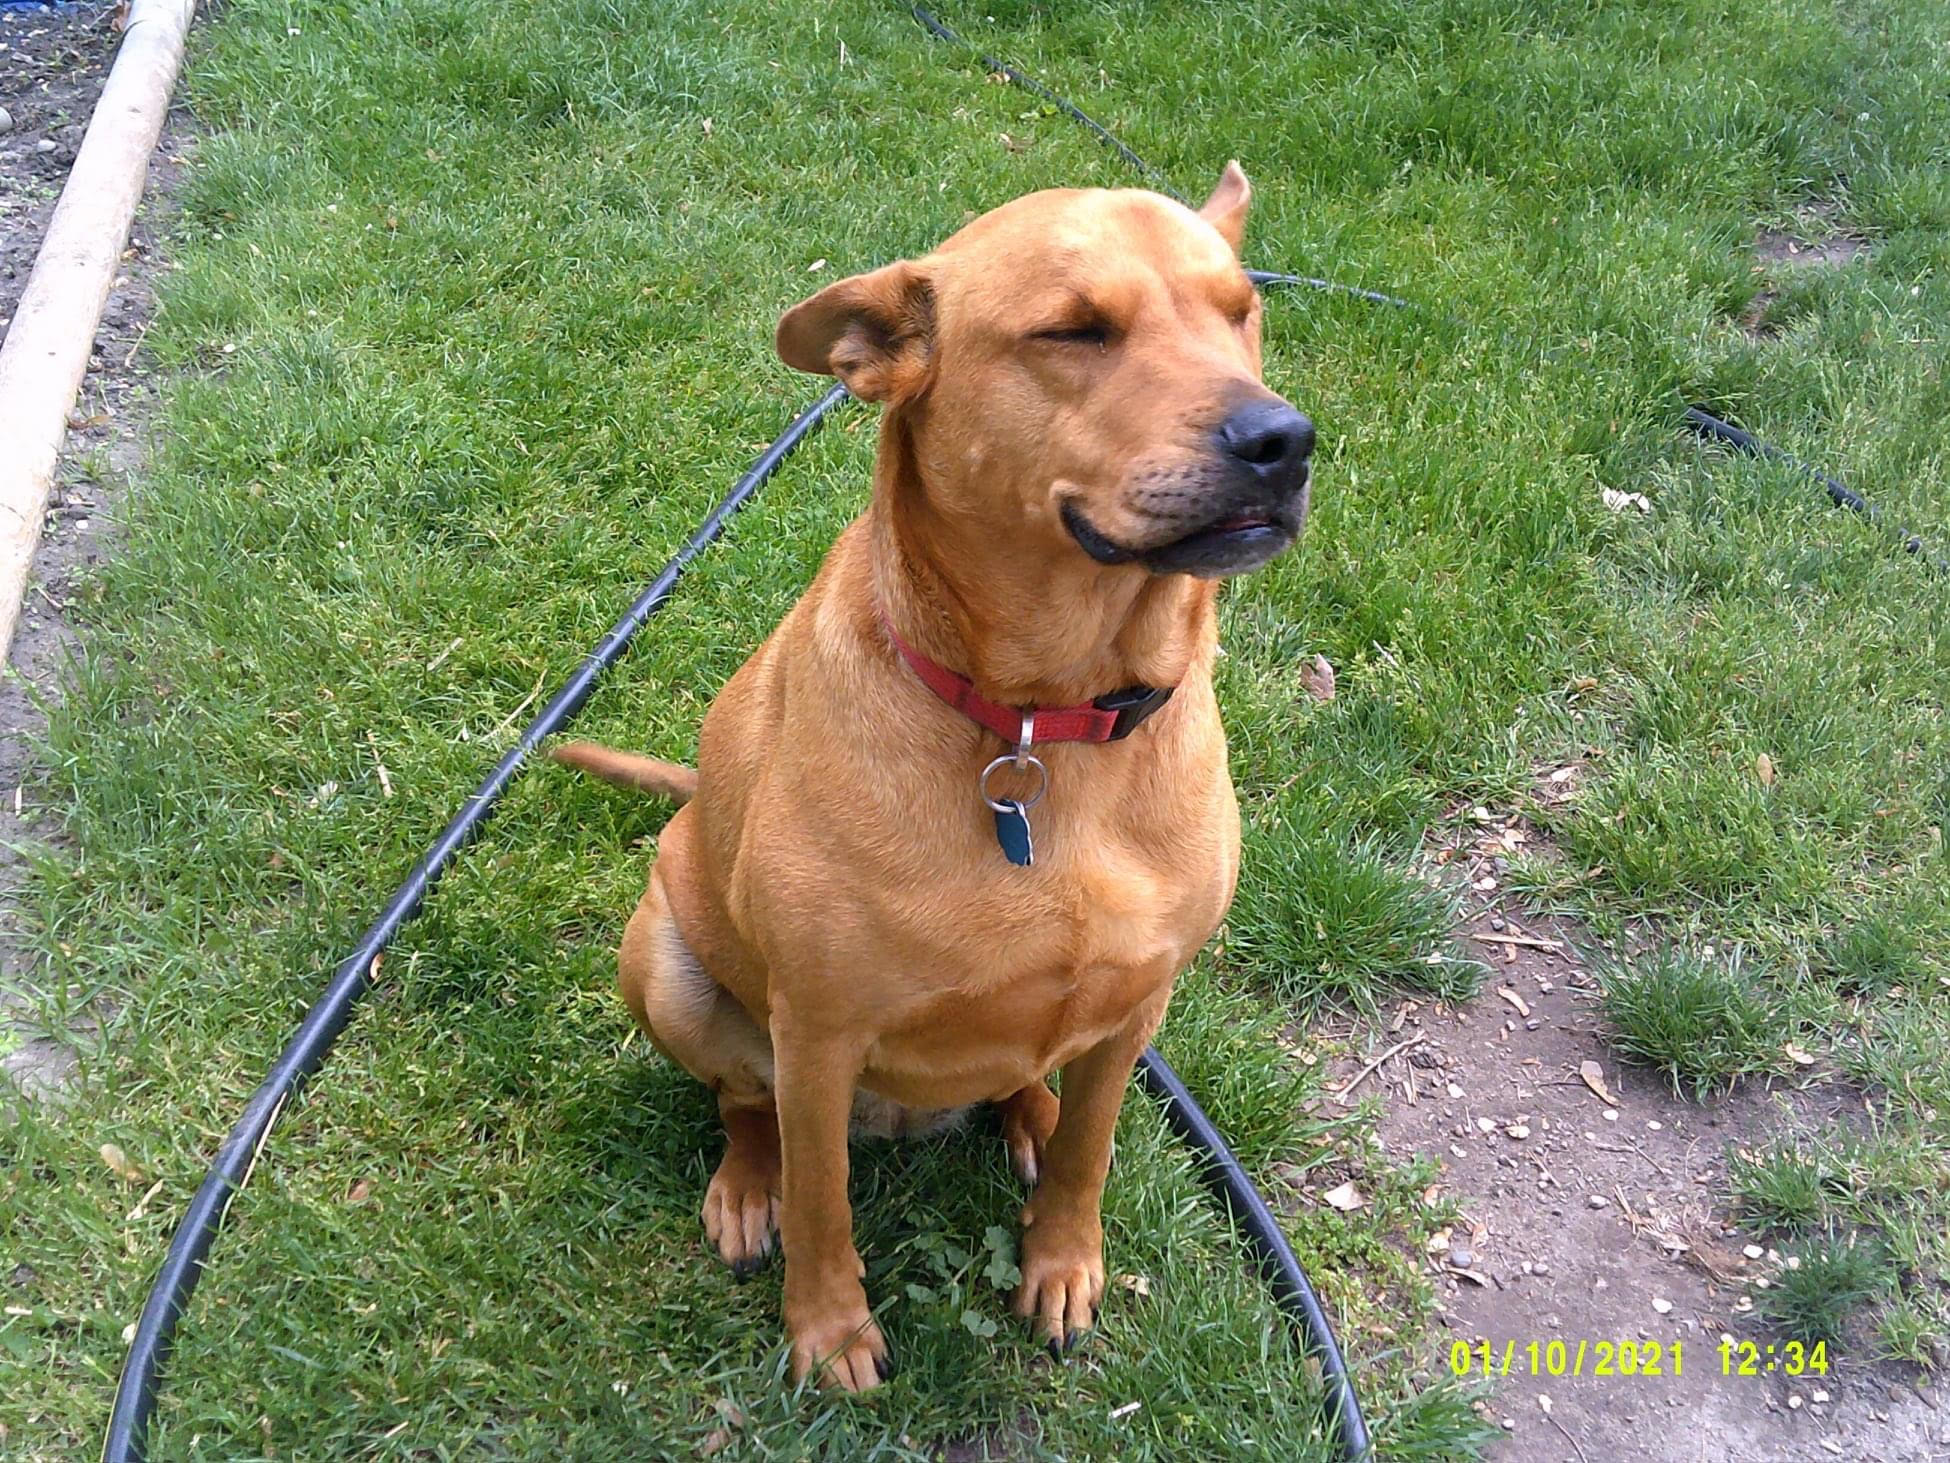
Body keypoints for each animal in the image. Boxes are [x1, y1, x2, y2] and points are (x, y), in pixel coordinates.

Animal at [549, 162, 1310, 1396]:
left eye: (1242, 311)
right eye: (1073, 330)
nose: (1283, 439)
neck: (1049, 724)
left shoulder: (1142, 999)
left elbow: (1093, 1155)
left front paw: (1062, 1259)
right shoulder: (817, 1033)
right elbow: (824, 1204)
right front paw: (828, 1331)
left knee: (1034, 1085)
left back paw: (1031, 1109)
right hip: (667, 963)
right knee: (744, 1103)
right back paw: (746, 1184)